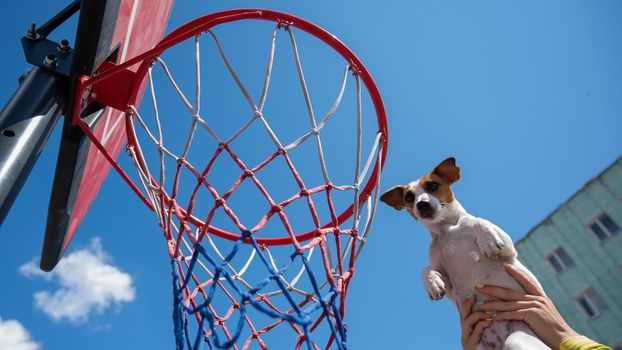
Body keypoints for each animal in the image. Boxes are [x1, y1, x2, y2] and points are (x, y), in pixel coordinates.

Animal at [380, 159, 552, 350]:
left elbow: (477, 221)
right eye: (409, 197)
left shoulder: (507, 248)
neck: (446, 230)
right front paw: (432, 283)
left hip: (517, 340)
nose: (421, 204)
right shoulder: (449, 284)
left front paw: (487, 238)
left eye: (433, 185)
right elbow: (425, 269)